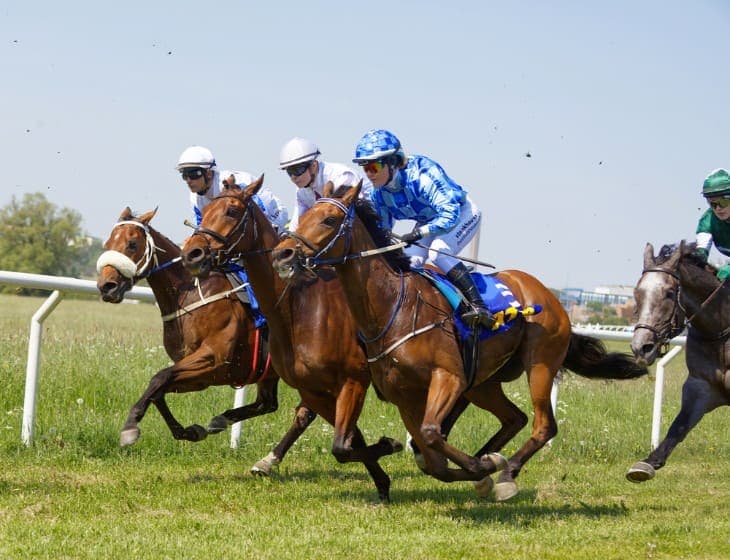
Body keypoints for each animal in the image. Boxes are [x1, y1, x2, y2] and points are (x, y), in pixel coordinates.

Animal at [96, 207, 317, 475]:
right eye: (108, 243)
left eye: (132, 244)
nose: (106, 286)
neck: (190, 294)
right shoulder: (199, 374)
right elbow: (158, 390)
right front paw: (190, 431)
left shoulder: (214, 361)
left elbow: (158, 379)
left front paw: (130, 427)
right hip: (269, 371)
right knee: (268, 403)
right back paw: (224, 423)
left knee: (304, 413)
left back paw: (268, 459)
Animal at [179, 180, 403, 503]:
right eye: (205, 210)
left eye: (232, 211)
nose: (192, 253)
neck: (296, 308)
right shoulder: (313, 387)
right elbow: (347, 439)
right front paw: (382, 480)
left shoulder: (354, 378)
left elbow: (343, 442)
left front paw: (390, 449)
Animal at [272, 182, 648, 501]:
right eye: (304, 215)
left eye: (329, 219)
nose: (282, 254)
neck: (393, 306)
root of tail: (547, 293)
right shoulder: (403, 396)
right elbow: (427, 456)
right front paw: (475, 469)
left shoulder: (447, 377)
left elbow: (430, 434)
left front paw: (481, 468)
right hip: (483, 383)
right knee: (515, 418)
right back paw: (491, 458)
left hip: (539, 363)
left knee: (544, 425)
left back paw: (506, 473)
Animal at [627, 241, 730, 482]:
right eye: (637, 292)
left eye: (670, 293)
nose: (641, 347)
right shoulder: (701, 386)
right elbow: (679, 426)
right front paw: (646, 464)